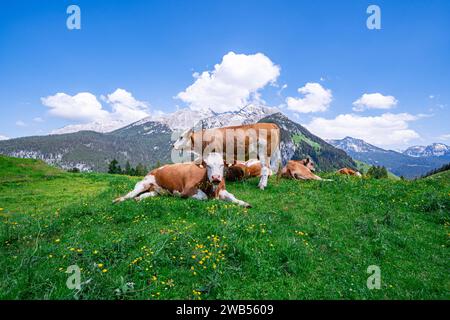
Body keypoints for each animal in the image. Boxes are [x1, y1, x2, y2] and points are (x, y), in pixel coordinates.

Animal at [112, 152, 251, 208]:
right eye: (207, 165)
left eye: (222, 165)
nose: (216, 178)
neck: (213, 190)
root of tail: (154, 170)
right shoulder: (187, 191)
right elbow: (204, 197)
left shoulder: (222, 190)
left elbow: (232, 197)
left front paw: (244, 203)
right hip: (143, 183)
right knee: (130, 194)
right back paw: (117, 200)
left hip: (156, 191)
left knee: (144, 195)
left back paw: (138, 199)